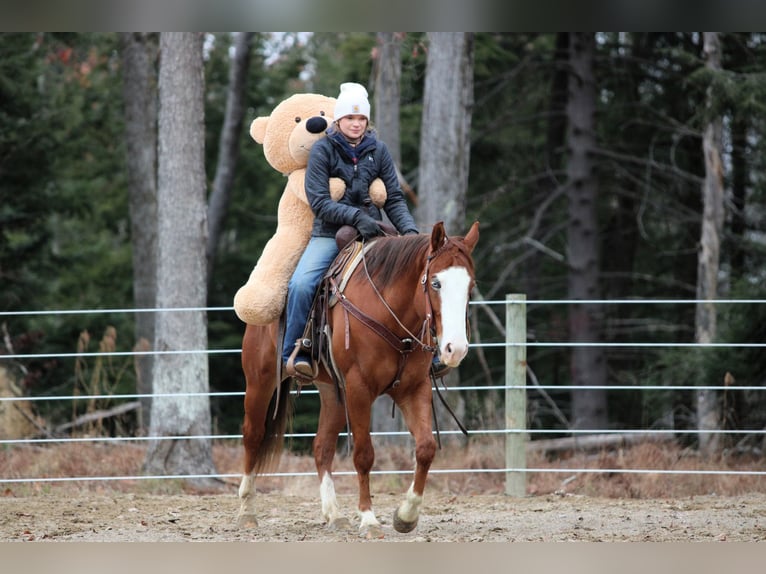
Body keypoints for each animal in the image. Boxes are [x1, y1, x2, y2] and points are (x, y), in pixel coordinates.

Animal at [236, 220, 479, 537]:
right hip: (260, 381)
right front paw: (369, 518)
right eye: (436, 283)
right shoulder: (359, 388)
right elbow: (364, 454)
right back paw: (246, 511)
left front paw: (406, 516)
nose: (456, 348)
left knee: (322, 447)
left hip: (333, 392)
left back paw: (334, 514)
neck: (390, 312)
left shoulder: (415, 388)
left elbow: (426, 448)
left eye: (470, 287)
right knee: (253, 436)